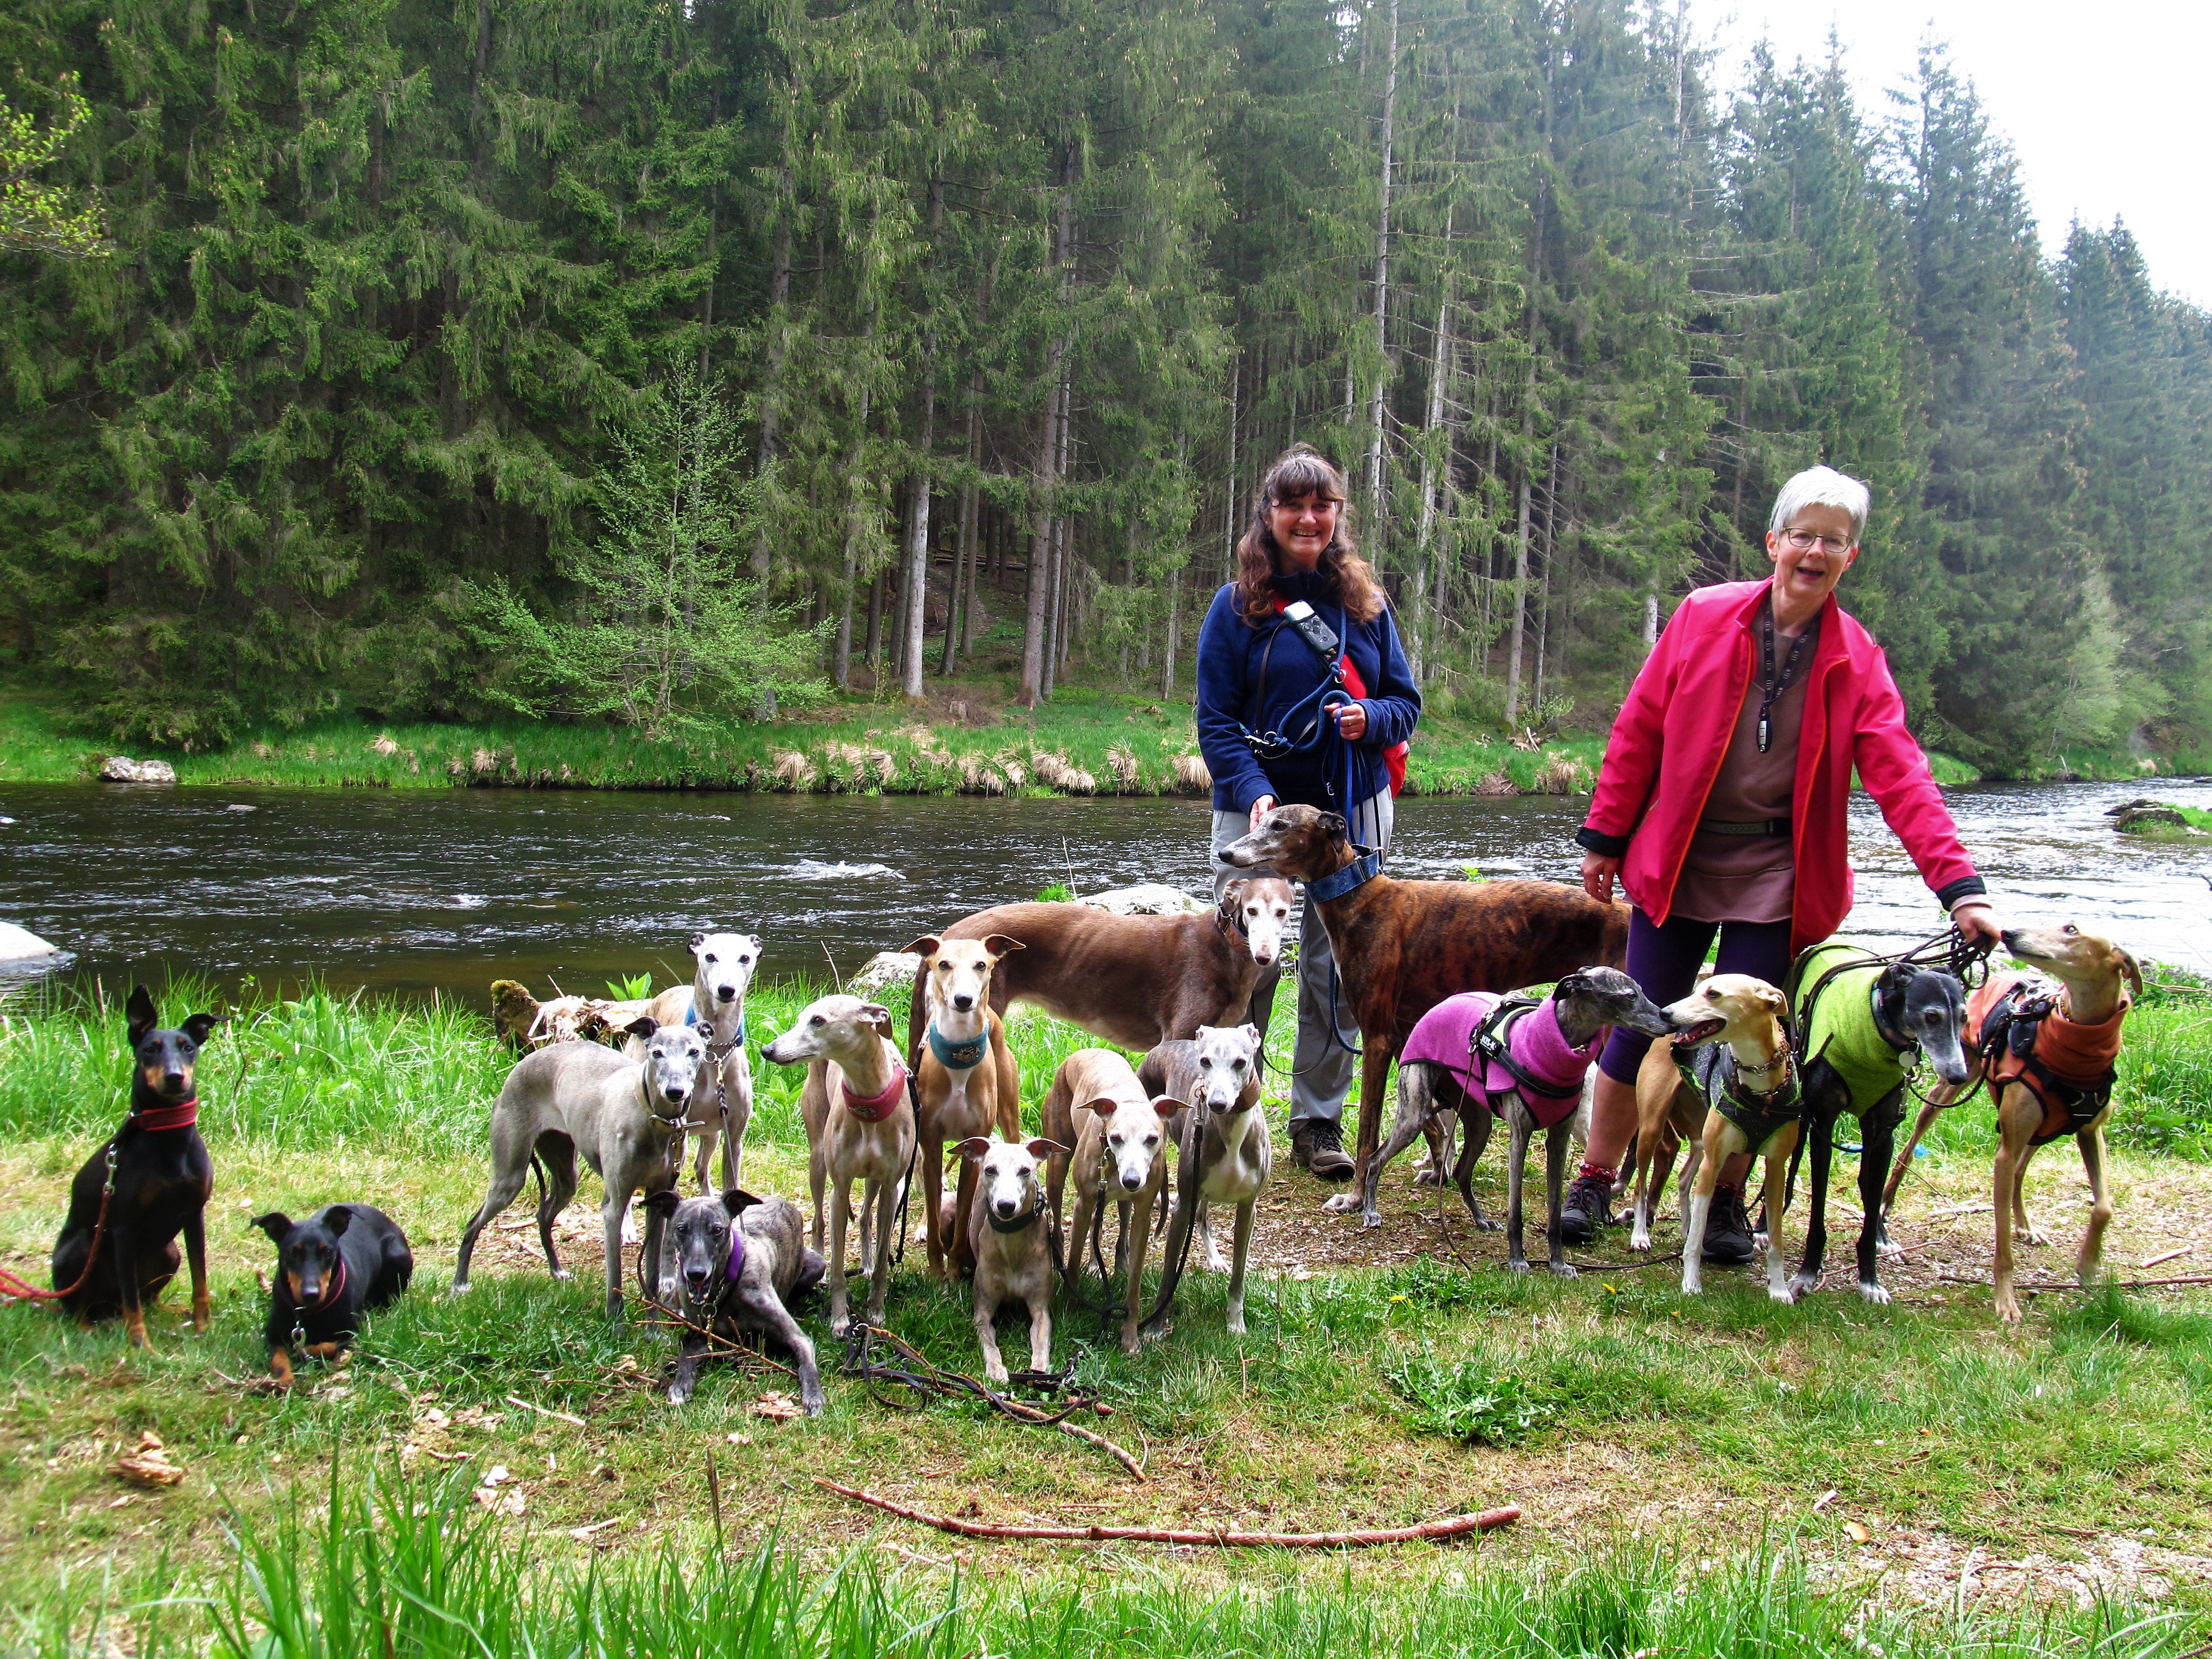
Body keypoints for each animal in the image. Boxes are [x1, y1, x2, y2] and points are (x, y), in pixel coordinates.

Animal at [54, 987, 225, 1354]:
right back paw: (87, 1326)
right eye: (149, 1049)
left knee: (146, 1298)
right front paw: (140, 1344)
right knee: (84, 1305)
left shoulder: (195, 1214)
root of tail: (106, 1307)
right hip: (83, 1250)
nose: (175, 1077)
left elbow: (200, 1280)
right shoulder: (123, 1228)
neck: (170, 1140)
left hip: (169, 1252)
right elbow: (131, 1299)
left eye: (188, 1047)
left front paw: (203, 1326)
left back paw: (169, 1310)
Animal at [254, 1212, 418, 1389]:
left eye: (327, 1251)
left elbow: (323, 1346)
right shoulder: (272, 1336)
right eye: (292, 1253)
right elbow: (278, 1359)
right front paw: (285, 1380)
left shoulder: (352, 1334)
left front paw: (303, 1351)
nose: (311, 1294)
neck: (308, 1312)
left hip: (397, 1259)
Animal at [641, 1194, 832, 1416]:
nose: (696, 1273)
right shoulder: (706, 1338)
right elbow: (686, 1354)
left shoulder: (798, 1337)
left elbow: (807, 1365)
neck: (723, 1289)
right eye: (681, 1229)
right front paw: (681, 1385)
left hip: (817, 1265)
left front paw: (814, 1397)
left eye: (717, 1229)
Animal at [1363, 960, 1672, 1274]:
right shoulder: (1520, 1138)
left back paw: (1481, 1220)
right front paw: (1518, 1261)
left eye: (1641, 991)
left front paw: (1558, 1264)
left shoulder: (1559, 1140)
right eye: (1630, 996)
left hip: (1479, 1124)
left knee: (1462, 1172)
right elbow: (1516, 1212)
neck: (1556, 1047)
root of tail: (1443, 1003)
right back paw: (1371, 1211)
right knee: (1376, 1159)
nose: (1670, 1022)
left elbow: (1554, 1214)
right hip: (1414, 1115)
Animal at [1778, 942, 1973, 1310]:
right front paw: (1808, 1273)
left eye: (1964, 1017)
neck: (1876, 1029)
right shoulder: (1822, 1126)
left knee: (1870, 1187)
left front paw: (1870, 1279)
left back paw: (1884, 1236)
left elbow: (1869, 1211)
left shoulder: (1884, 1132)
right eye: (1932, 1016)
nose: (1958, 1075)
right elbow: (1817, 1209)